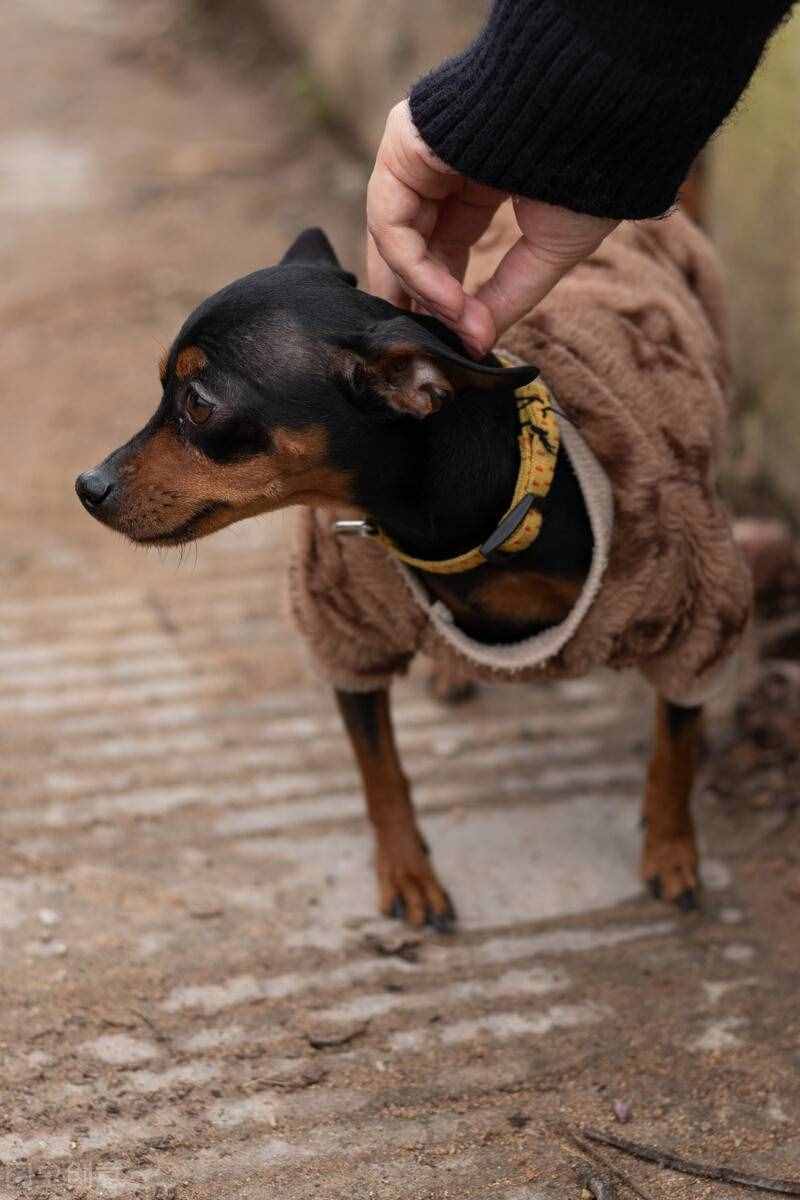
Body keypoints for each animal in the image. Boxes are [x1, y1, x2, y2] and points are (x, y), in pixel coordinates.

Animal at [74, 218, 753, 926]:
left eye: (200, 404)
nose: (88, 485)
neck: (447, 527)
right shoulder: (347, 636)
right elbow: (380, 775)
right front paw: (408, 876)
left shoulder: (698, 612)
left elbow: (674, 747)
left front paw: (672, 852)